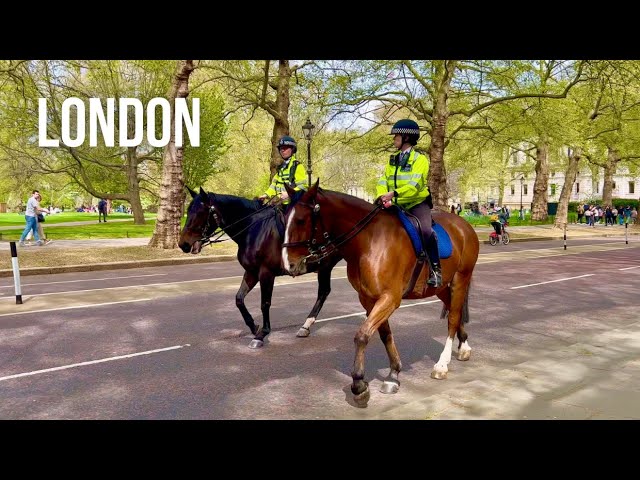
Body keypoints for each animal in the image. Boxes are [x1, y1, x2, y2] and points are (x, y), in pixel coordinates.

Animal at [178, 186, 342, 346]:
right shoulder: (251, 272)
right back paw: (306, 326)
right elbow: (239, 299)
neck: (255, 230)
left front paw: (262, 334)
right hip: (325, 267)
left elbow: (265, 303)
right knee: (324, 292)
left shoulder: (266, 273)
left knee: (324, 292)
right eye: (188, 211)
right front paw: (254, 327)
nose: (183, 244)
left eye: (200, 212)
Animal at [282, 182, 478, 406]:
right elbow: (385, 335)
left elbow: (362, 335)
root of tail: (463, 225)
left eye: (301, 220)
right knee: (455, 312)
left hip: (460, 279)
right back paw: (464, 346)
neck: (369, 241)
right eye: (284, 219)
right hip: (443, 287)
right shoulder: (369, 299)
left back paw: (442, 364)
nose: (289, 264)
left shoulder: (389, 298)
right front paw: (393, 374)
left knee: (453, 317)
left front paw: (359, 384)